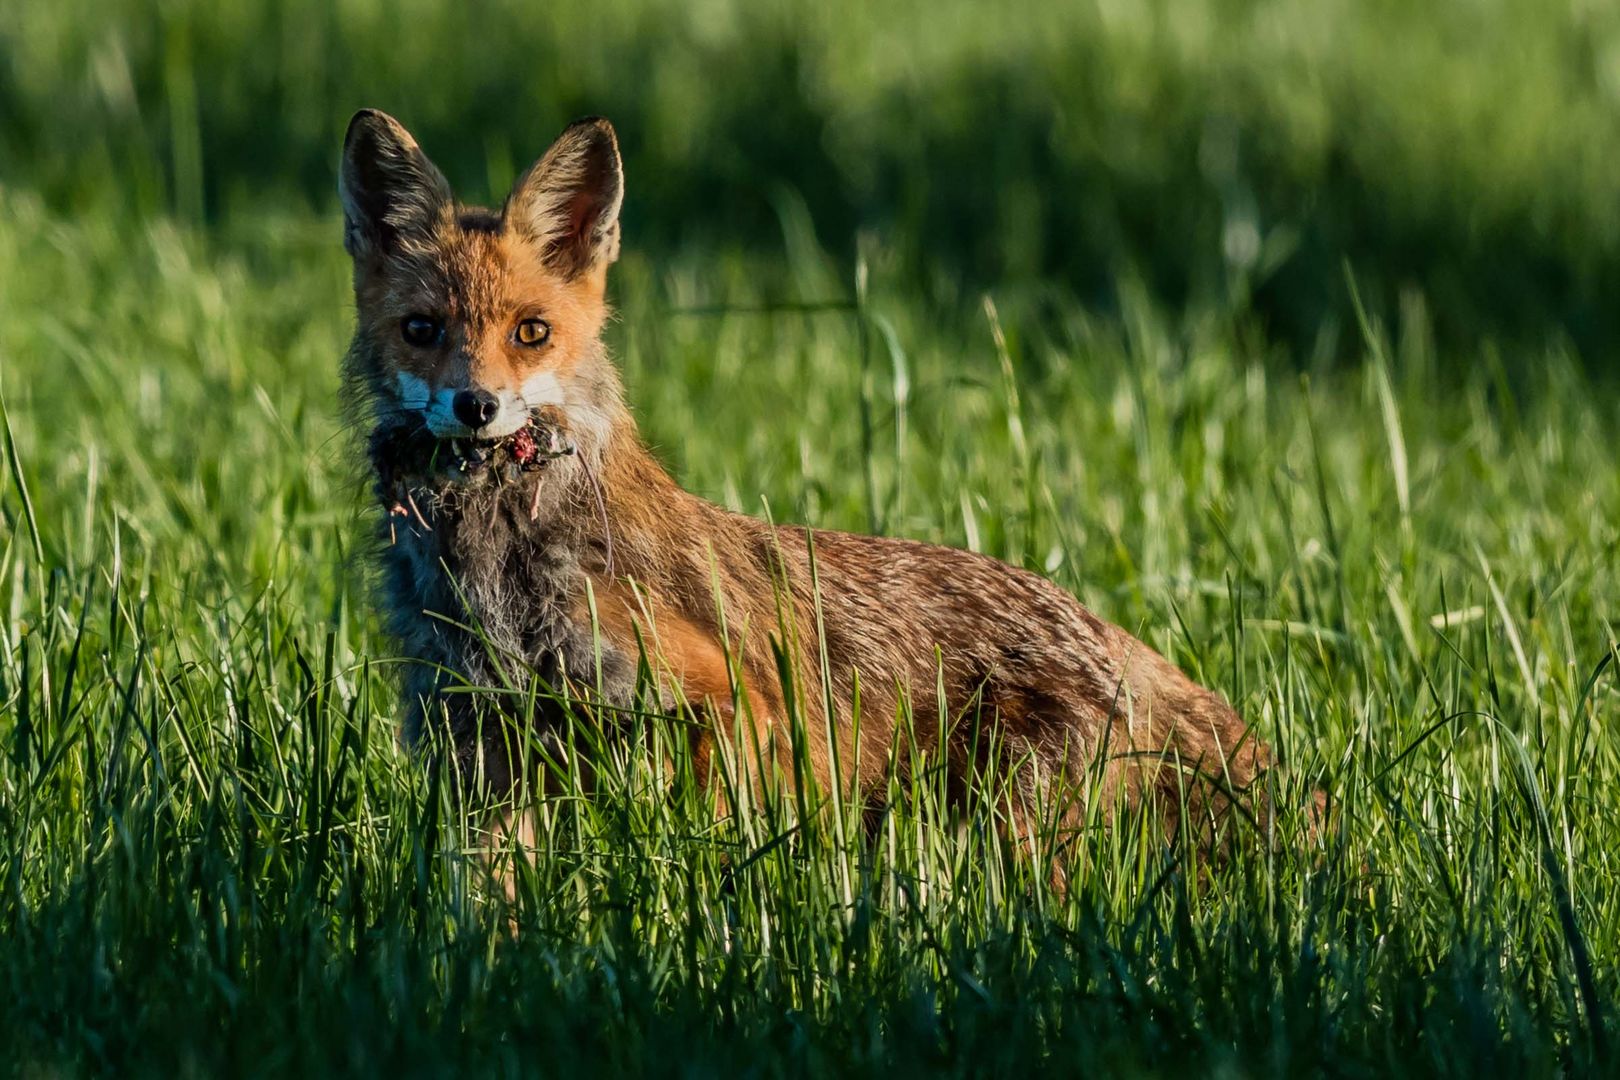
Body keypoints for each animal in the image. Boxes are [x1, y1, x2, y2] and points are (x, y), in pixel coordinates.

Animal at [338, 110, 1276, 867]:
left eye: (530, 332)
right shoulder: (479, 741)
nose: (477, 406)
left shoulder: (725, 708)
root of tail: (1107, 632)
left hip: (1010, 825)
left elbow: (702, 855)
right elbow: (490, 889)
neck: (501, 565)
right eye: (422, 330)